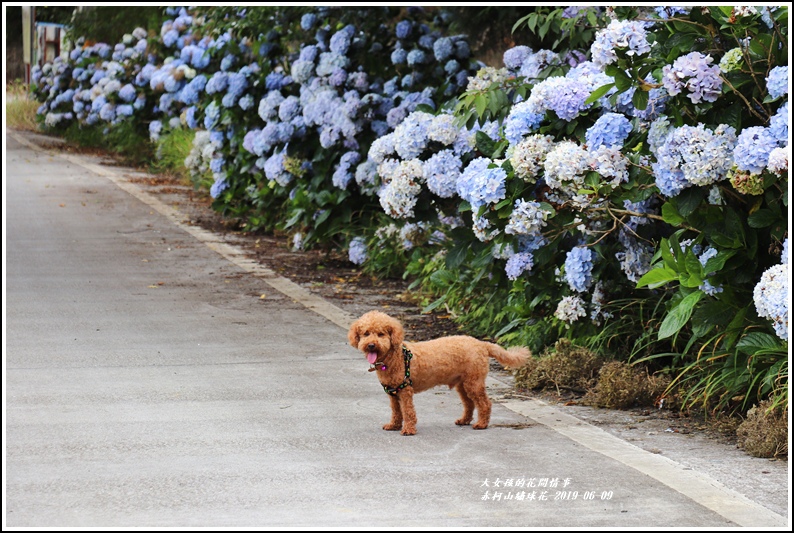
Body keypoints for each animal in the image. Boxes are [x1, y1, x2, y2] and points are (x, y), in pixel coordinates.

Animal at [346, 310, 524, 434]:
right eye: (366, 334)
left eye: (381, 334)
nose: (371, 345)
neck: (394, 357)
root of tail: (481, 344)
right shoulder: (393, 393)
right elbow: (397, 412)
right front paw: (394, 425)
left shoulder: (405, 391)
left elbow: (408, 411)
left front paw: (408, 430)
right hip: (463, 384)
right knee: (469, 404)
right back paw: (464, 420)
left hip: (474, 382)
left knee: (485, 404)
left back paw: (481, 424)